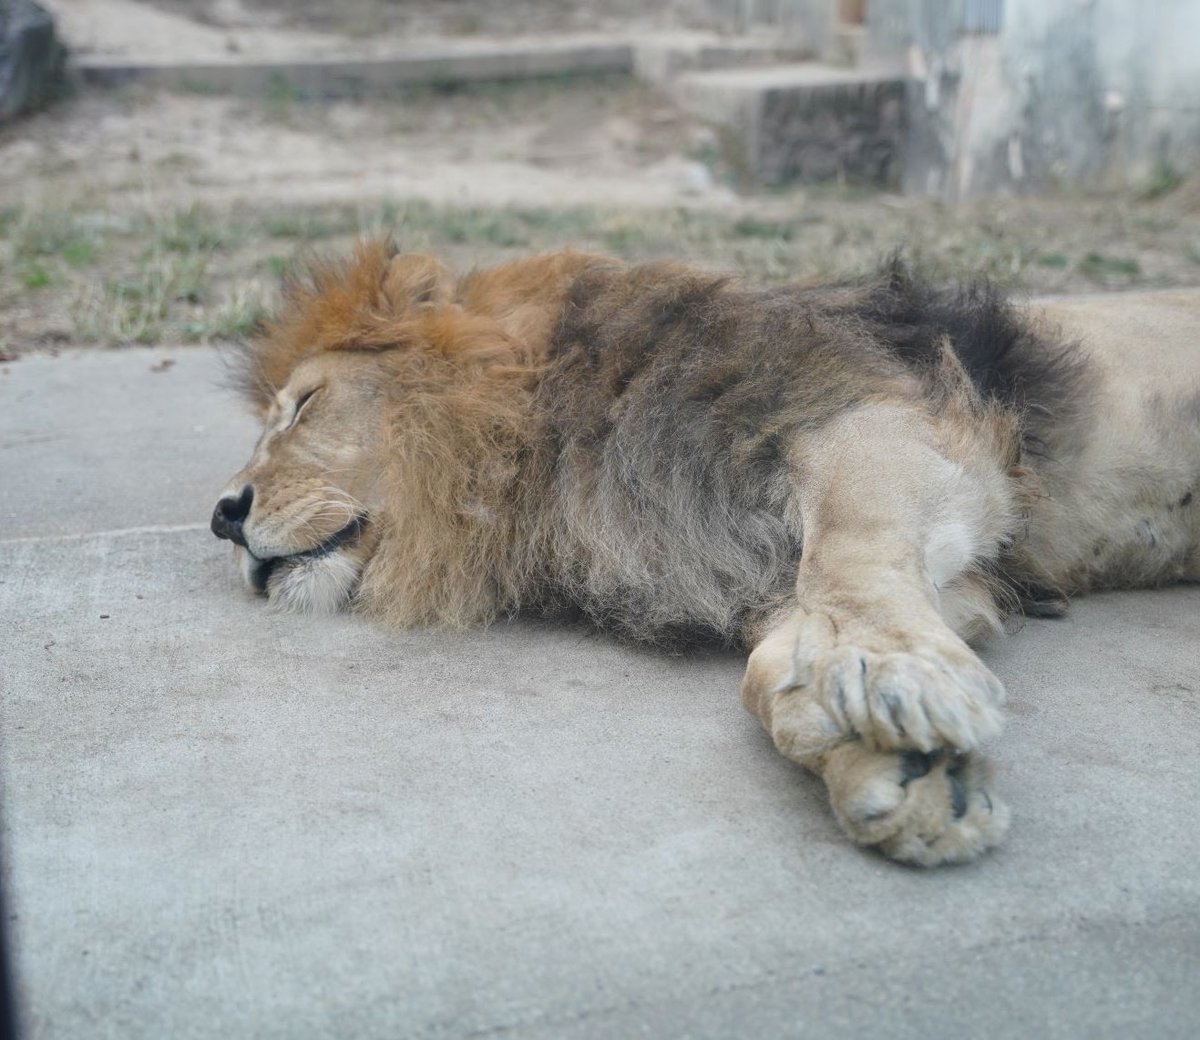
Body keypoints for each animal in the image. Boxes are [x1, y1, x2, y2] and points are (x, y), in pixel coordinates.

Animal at [213, 239, 1200, 868]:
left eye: (303, 407)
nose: (223, 516)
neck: (549, 444)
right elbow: (772, 663)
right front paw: (902, 777)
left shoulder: (876, 418)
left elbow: (847, 553)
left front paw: (889, 673)